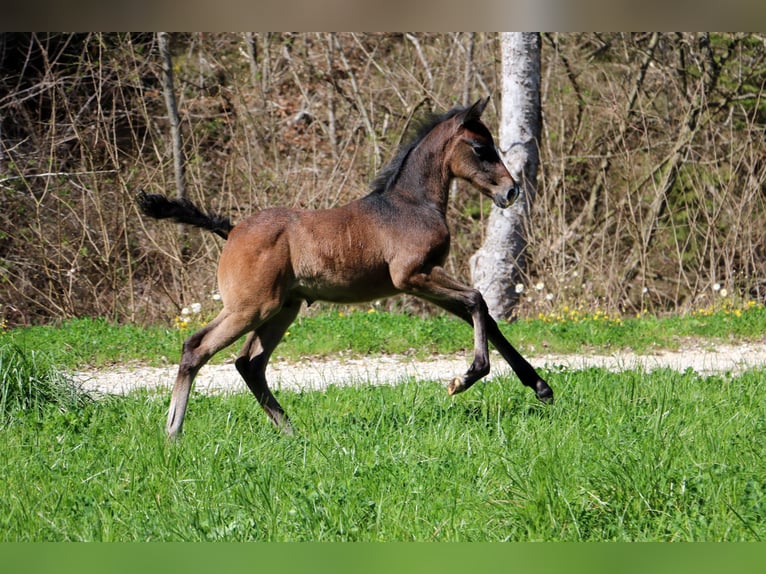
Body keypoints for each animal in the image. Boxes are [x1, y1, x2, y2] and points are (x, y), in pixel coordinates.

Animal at [138, 98, 556, 440]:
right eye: (481, 148)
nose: (510, 191)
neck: (411, 204)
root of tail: (232, 229)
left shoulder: (424, 279)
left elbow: (484, 315)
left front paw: (541, 387)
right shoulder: (413, 276)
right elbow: (476, 300)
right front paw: (464, 379)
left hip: (282, 308)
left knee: (249, 363)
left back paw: (291, 431)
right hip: (251, 307)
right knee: (196, 347)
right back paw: (173, 432)